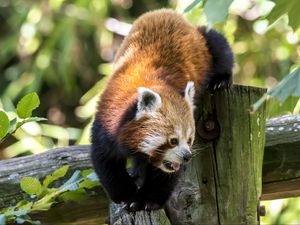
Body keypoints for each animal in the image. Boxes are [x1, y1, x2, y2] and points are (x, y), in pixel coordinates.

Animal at [91, 8, 234, 212]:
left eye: (189, 140)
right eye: (173, 140)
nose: (187, 156)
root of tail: (165, 11)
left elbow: (164, 176)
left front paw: (146, 200)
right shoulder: (106, 121)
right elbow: (106, 161)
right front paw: (125, 193)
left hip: (205, 42)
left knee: (219, 45)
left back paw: (221, 80)